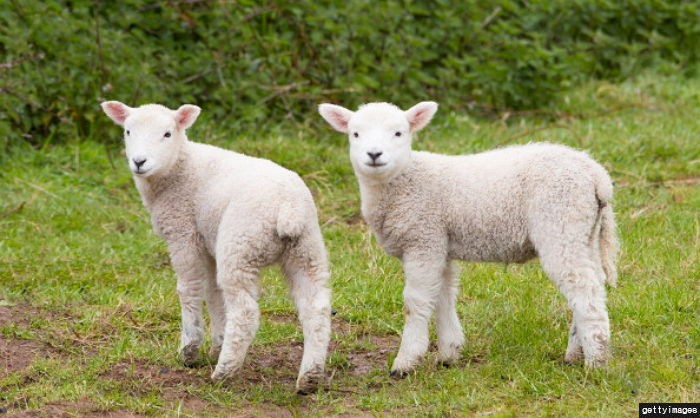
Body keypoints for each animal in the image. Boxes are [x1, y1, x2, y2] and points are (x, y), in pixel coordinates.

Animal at [102, 100, 332, 392]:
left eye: (167, 134)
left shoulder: (183, 233)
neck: (179, 168)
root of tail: (287, 208)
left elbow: (189, 290)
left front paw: (189, 350)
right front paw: (216, 344)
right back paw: (309, 377)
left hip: (240, 245)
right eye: (128, 131)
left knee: (245, 312)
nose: (139, 162)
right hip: (306, 249)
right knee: (316, 308)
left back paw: (225, 371)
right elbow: (213, 294)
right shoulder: (207, 241)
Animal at [318, 100, 616, 376]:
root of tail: (596, 174)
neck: (405, 180)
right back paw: (575, 353)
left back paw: (596, 362)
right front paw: (449, 353)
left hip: (560, 221)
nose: (374, 154)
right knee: (592, 285)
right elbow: (443, 296)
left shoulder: (423, 238)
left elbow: (415, 302)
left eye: (398, 133)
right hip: (583, 231)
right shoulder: (440, 242)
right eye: (355, 133)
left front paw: (406, 361)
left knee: (584, 289)